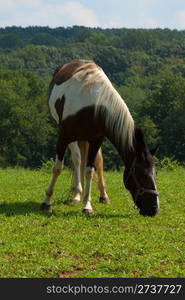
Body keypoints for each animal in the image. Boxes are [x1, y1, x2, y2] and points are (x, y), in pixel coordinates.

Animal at [40, 59, 159, 217]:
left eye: (155, 173)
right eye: (142, 175)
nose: (154, 209)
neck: (92, 104)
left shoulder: (96, 140)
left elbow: (90, 170)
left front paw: (87, 205)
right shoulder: (64, 138)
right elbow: (58, 168)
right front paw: (47, 202)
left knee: (95, 162)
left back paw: (101, 195)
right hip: (74, 139)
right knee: (77, 160)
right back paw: (76, 195)